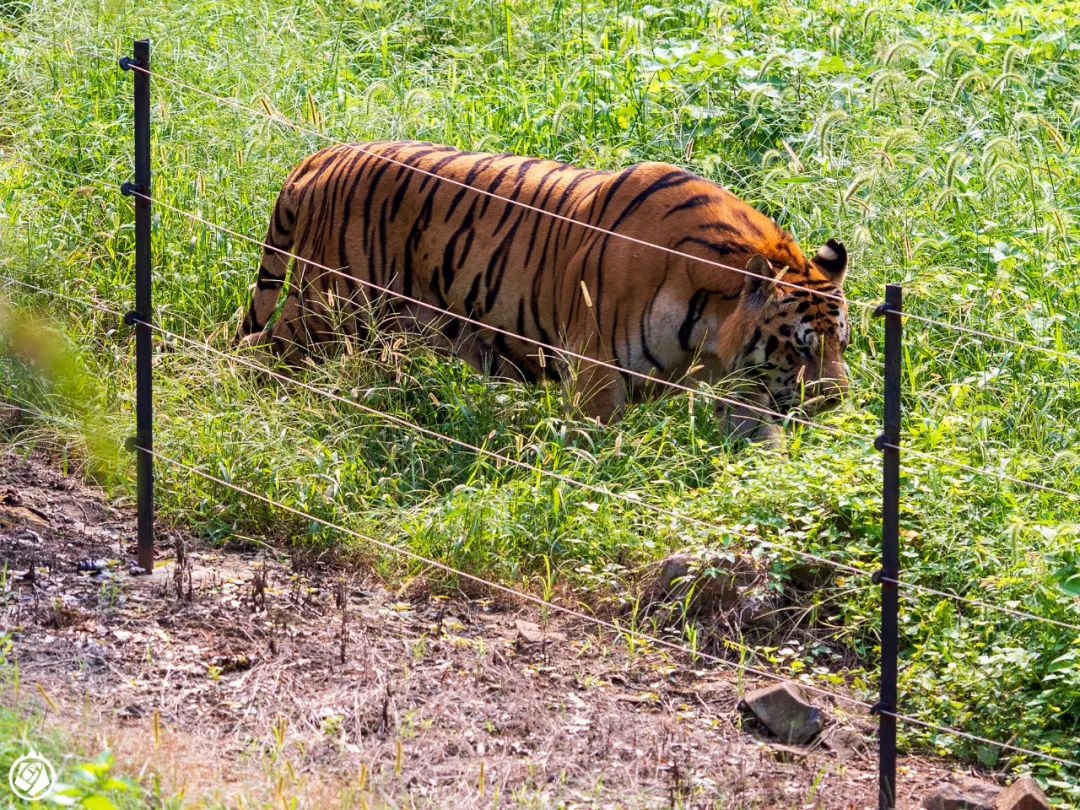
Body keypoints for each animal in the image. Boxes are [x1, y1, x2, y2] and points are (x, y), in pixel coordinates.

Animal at [238, 142, 851, 440]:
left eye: (841, 343)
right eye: (800, 347)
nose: (836, 402)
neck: (709, 329)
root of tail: (322, 156)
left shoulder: (746, 389)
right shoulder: (596, 376)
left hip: (378, 328)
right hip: (326, 307)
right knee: (261, 351)